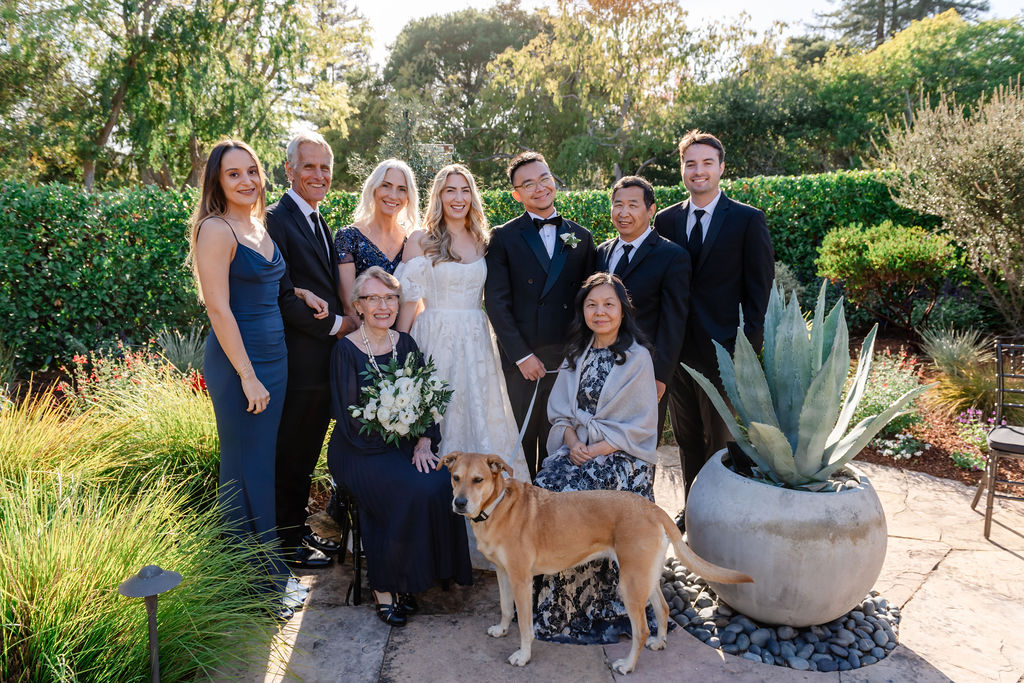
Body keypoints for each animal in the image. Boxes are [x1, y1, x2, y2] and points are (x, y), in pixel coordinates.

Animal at [436, 454, 757, 671]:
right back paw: (659, 641)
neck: (497, 506)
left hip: (629, 584)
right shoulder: (503, 574)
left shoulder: (521, 580)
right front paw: (502, 629)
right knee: (663, 609)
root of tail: (653, 508)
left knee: (641, 630)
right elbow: (504, 607)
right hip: (644, 578)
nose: (459, 503)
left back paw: (627, 665)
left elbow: (526, 626)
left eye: (478, 479)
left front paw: (523, 656)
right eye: (455, 477)